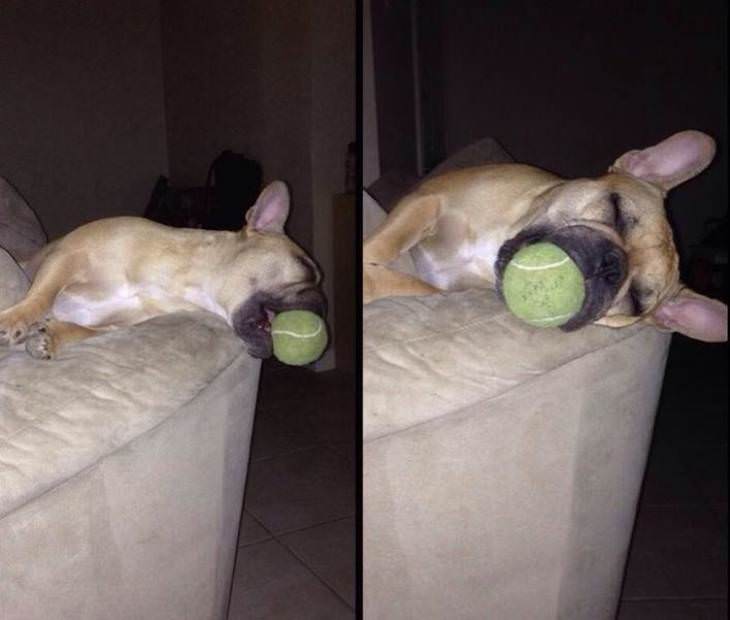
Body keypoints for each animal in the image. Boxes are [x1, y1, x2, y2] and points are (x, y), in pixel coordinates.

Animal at [0, 180, 324, 358]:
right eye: (306, 269)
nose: (323, 304)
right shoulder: (67, 256)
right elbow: (41, 296)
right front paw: (14, 320)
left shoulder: (113, 323)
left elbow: (80, 330)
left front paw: (51, 338)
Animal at [362, 131, 724, 342]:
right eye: (616, 209)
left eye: (636, 301)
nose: (610, 264)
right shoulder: (427, 201)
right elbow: (385, 244)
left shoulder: (438, 287)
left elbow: (403, 282)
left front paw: (369, 281)